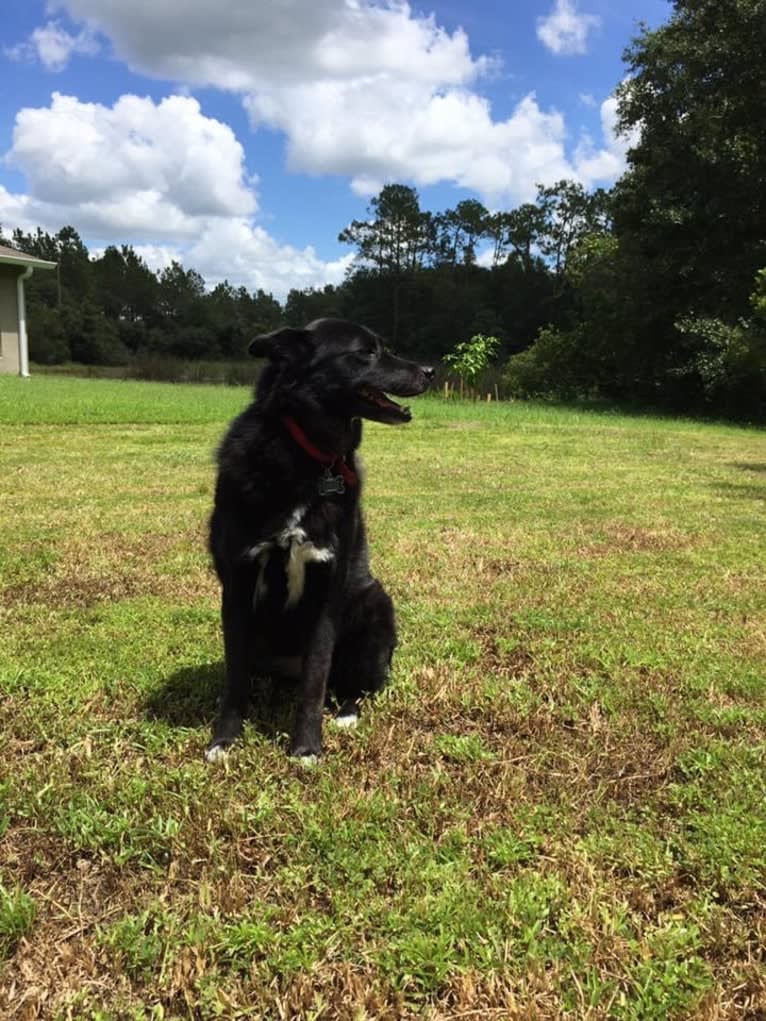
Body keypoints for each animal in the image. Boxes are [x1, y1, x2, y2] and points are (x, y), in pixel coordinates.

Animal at [205, 318, 433, 759]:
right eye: (366, 352)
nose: (431, 371)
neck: (309, 457)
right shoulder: (238, 587)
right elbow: (235, 679)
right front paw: (224, 740)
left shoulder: (328, 591)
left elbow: (314, 683)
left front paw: (307, 747)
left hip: (373, 606)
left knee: (347, 686)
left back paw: (345, 713)